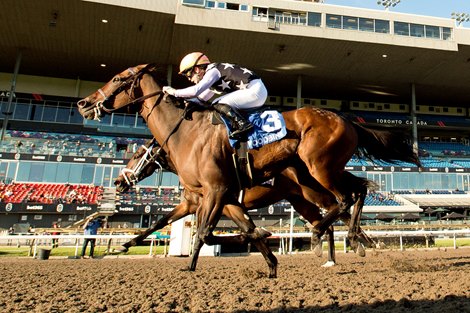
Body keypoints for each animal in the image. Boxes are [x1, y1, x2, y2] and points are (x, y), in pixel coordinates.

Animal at [78, 63, 422, 276]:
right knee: (356, 191)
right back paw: (352, 241)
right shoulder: (207, 198)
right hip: (316, 176)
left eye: (119, 79)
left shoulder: (216, 192)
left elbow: (207, 231)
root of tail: (347, 119)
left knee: (342, 201)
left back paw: (336, 241)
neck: (186, 134)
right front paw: (122, 246)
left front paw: (190, 266)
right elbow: (170, 222)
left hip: (319, 170)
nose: (83, 103)